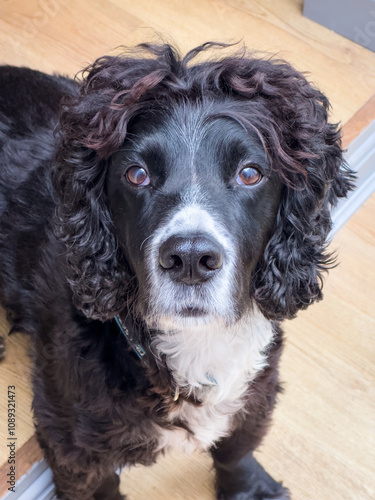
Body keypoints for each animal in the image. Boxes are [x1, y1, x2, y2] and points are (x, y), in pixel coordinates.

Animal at [0, 44, 356, 500]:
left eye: (250, 173)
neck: (195, 343)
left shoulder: (256, 388)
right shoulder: (70, 440)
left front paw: (249, 487)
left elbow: (237, 445)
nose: (189, 258)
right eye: (137, 174)